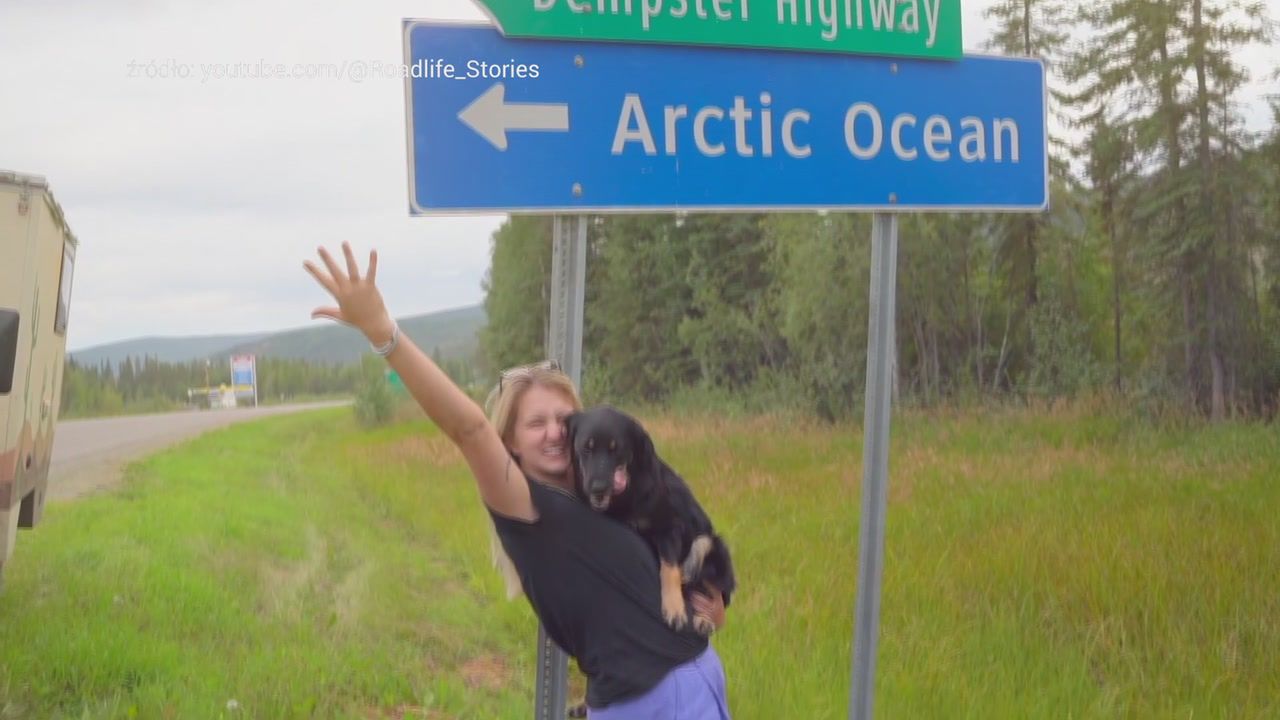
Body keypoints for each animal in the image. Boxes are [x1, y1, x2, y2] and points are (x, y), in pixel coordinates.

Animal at [565, 404, 737, 632]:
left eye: (615, 449)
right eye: (587, 448)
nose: (598, 489)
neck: (627, 494)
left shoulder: (670, 528)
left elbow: (670, 569)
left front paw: (674, 609)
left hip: (712, 546)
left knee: (715, 593)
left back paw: (704, 619)